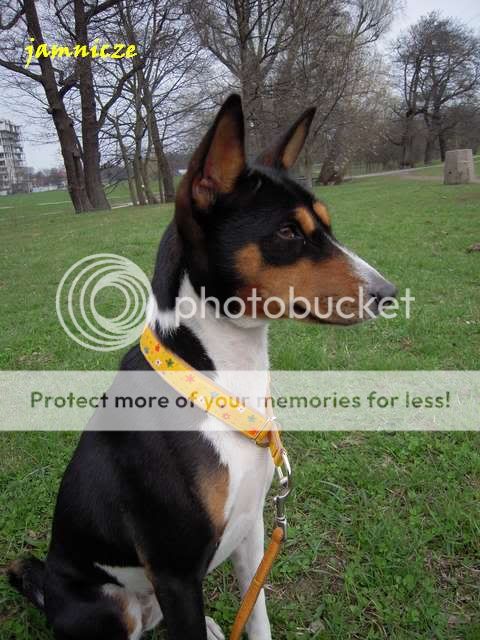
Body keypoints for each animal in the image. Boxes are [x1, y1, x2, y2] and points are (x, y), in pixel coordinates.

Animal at [8, 94, 396, 640]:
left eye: (326, 224)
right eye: (287, 232)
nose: (388, 293)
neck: (217, 383)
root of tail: (47, 594)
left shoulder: (252, 532)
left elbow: (256, 616)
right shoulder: (176, 572)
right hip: (114, 603)